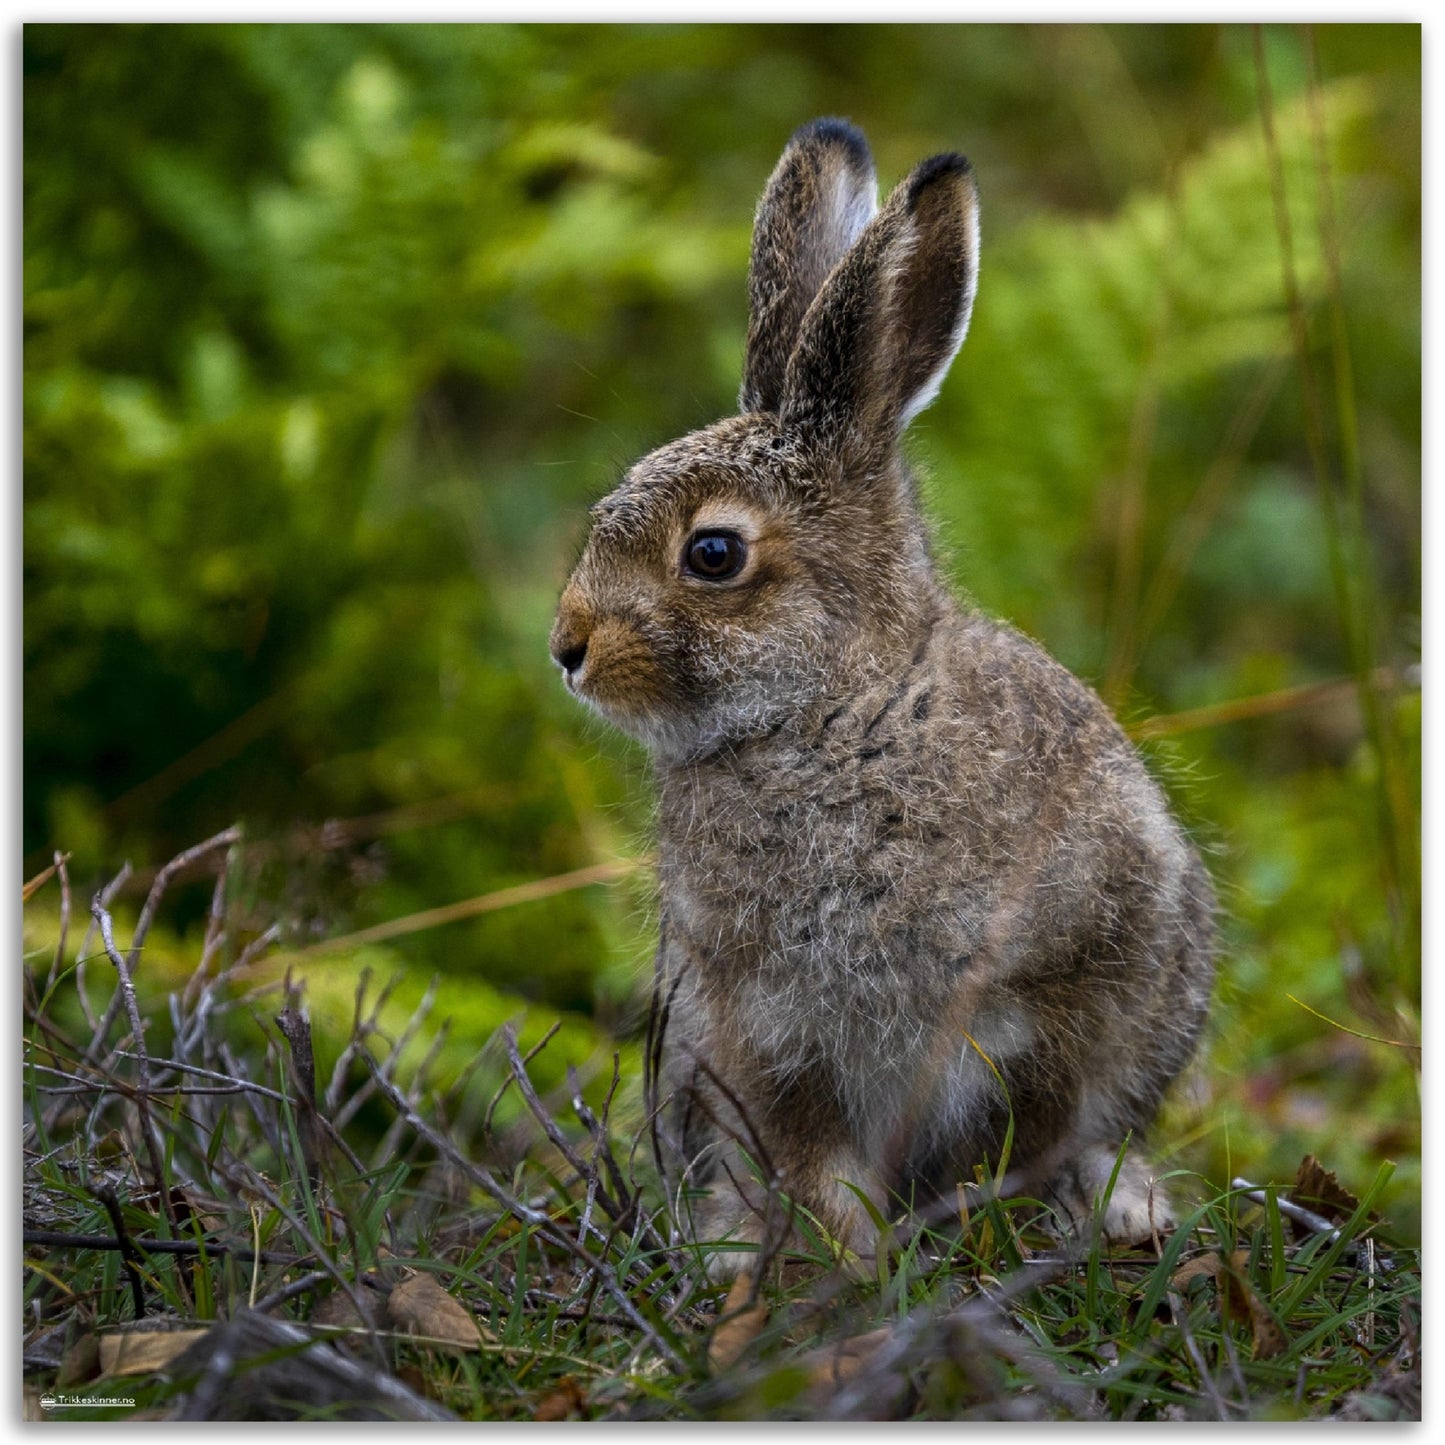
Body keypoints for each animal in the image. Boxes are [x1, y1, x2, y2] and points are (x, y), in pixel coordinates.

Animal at [549, 117, 1215, 1276]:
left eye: (712, 553)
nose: (566, 646)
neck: (836, 708)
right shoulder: (763, 1029)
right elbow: (810, 1154)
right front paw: (834, 1257)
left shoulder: (1058, 988)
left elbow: (1037, 1124)